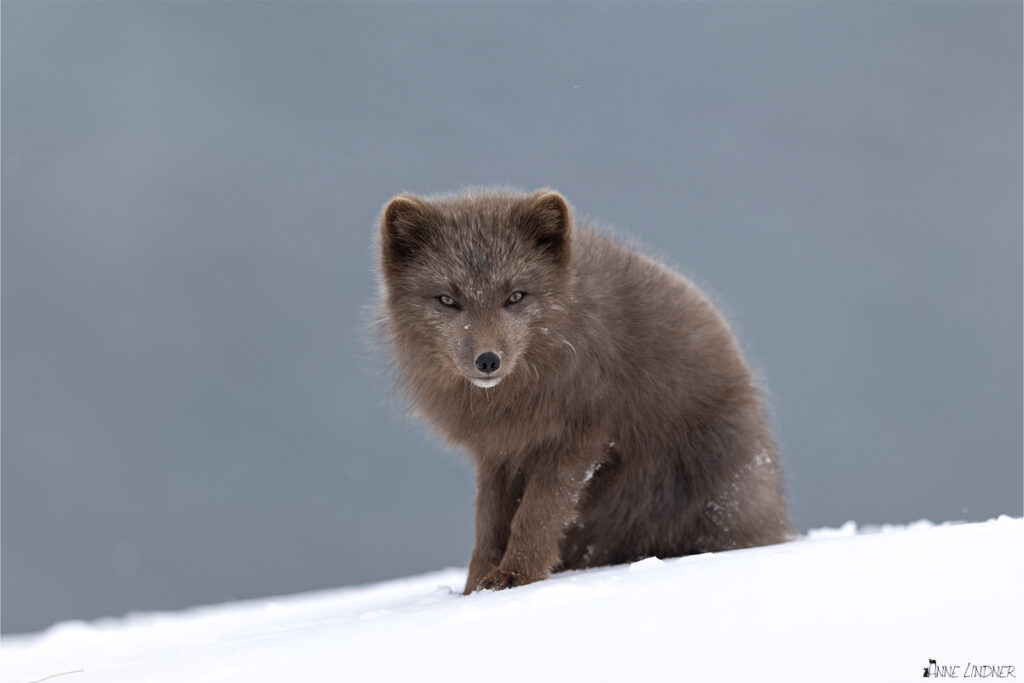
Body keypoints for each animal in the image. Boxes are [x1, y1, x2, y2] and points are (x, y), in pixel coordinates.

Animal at [376, 188, 790, 593]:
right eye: (447, 300)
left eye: (516, 296)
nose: (488, 360)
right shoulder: (500, 451)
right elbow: (489, 523)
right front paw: (474, 589)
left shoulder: (578, 437)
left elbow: (537, 513)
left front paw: (515, 578)